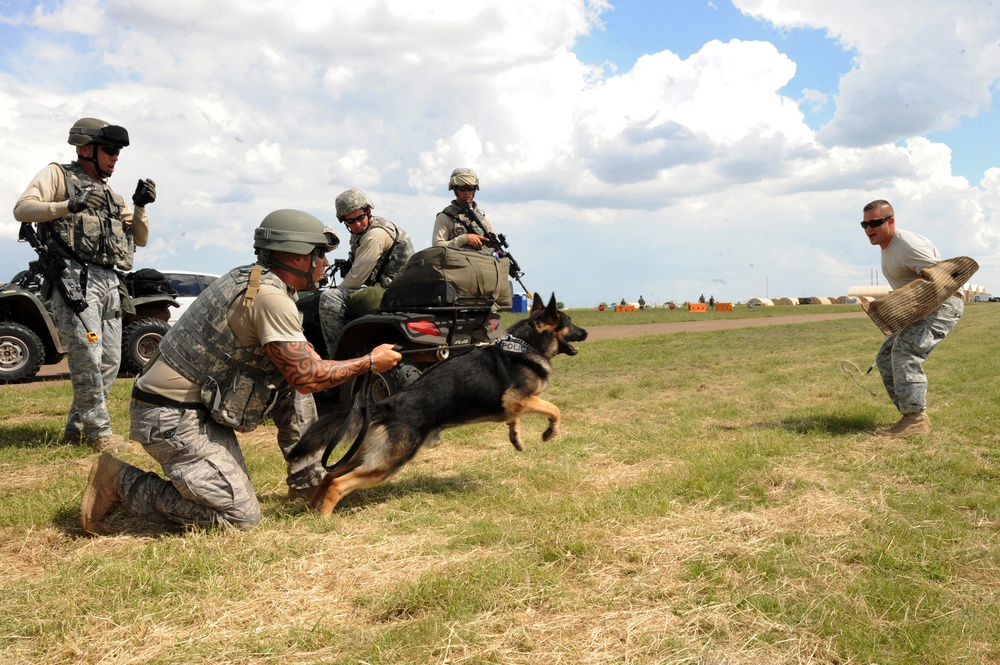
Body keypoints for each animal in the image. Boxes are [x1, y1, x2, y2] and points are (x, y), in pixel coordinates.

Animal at [292, 294, 584, 516]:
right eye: (569, 323)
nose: (585, 332)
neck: (524, 346)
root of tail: (385, 406)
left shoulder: (517, 404)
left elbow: (517, 420)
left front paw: (516, 438)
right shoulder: (520, 398)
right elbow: (554, 409)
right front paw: (549, 432)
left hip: (368, 457)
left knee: (329, 476)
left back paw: (312, 507)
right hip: (387, 463)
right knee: (338, 483)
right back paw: (326, 519)